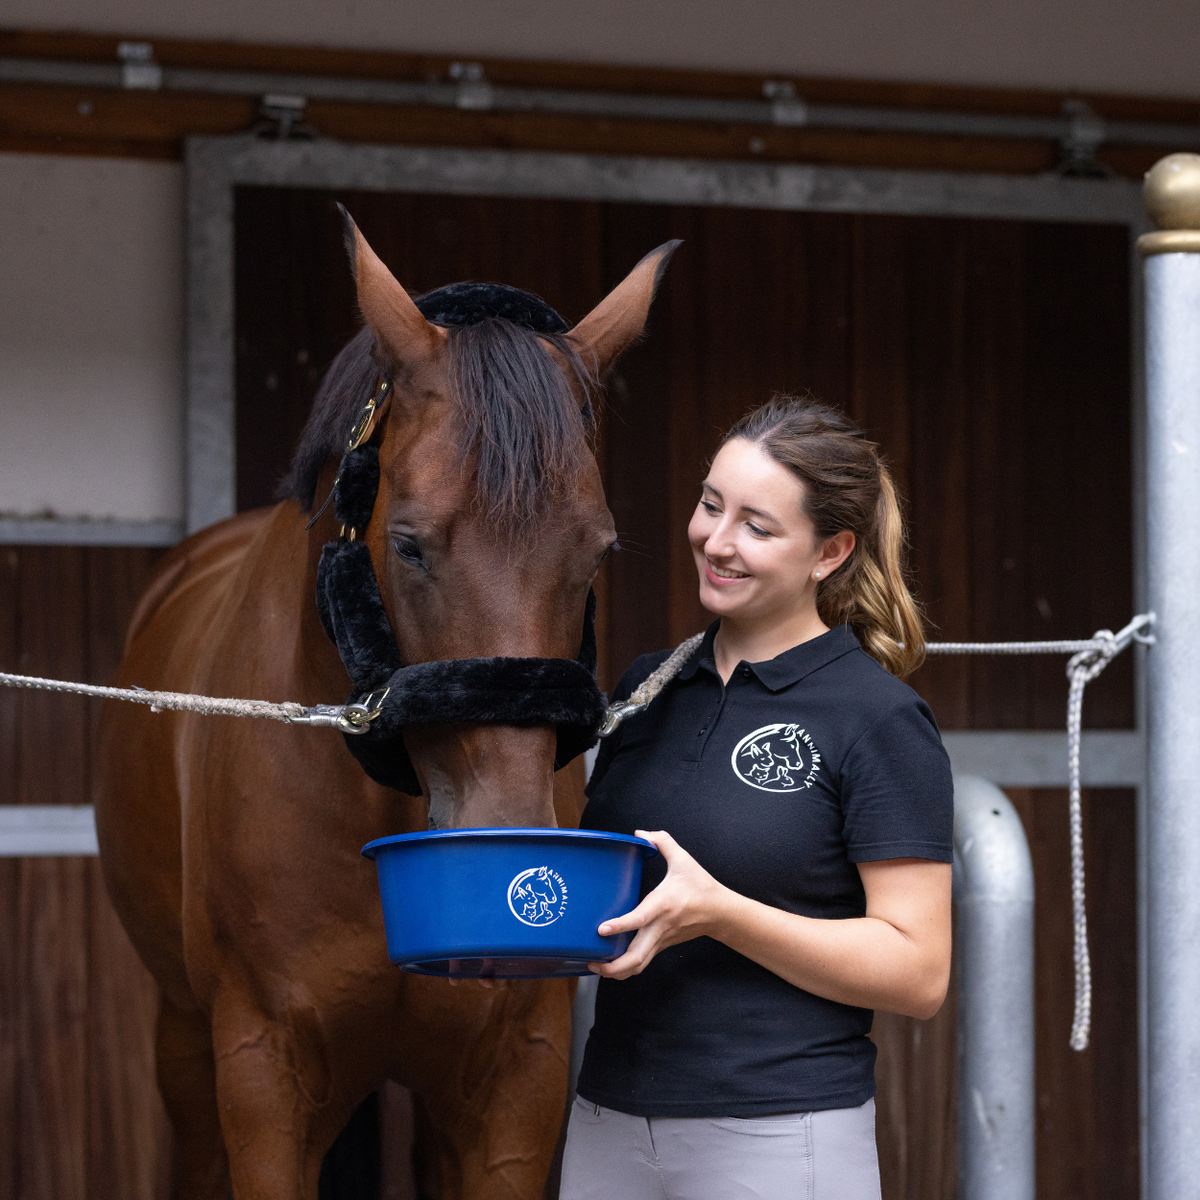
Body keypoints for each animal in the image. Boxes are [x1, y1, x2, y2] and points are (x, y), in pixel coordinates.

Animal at [94, 212, 677, 1200]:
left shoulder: (511, 1080)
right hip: (184, 1043)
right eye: (407, 543)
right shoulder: (263, 1076)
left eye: (596, 549)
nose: (504, 829)